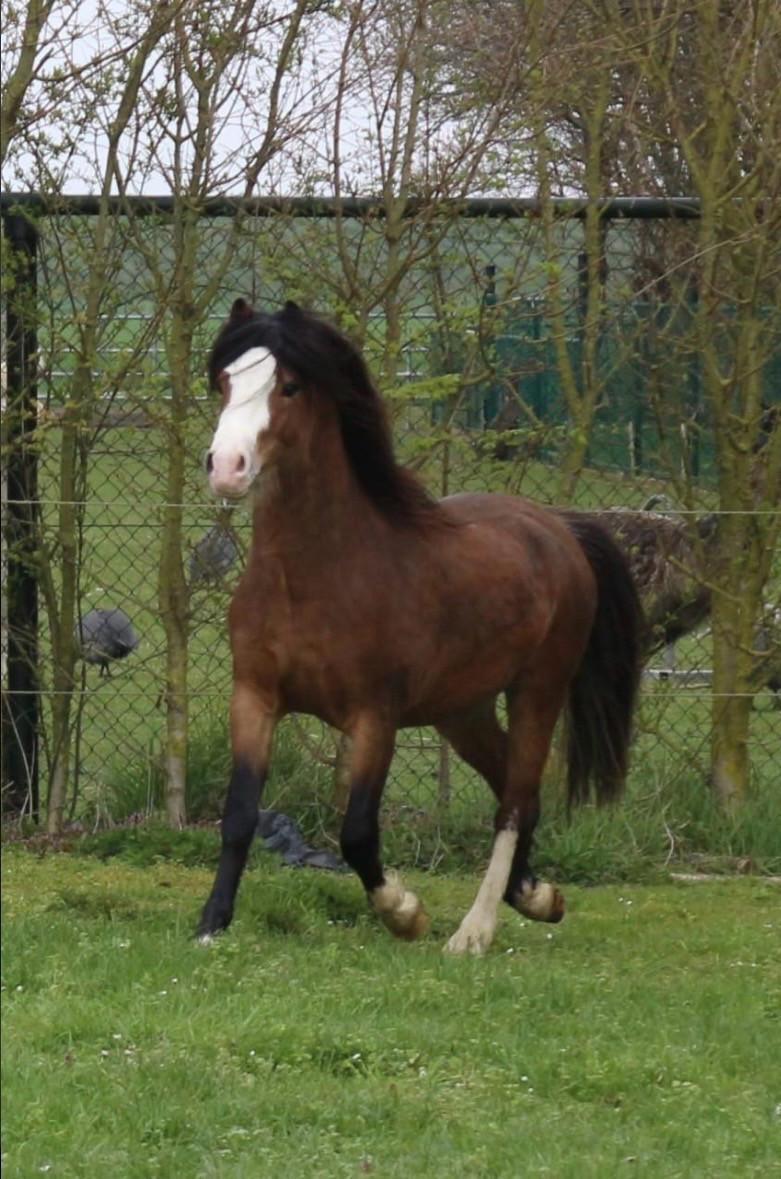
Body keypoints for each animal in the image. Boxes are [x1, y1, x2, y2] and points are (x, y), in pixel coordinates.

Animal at [196, 299, 642, 955]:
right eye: (226, 381)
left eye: (290, 385)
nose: (227, 467)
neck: (315, 578)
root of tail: (560, 529)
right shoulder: (253, 699)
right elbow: (238, 815)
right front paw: (211, 924)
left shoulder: (374, 717)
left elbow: (357, 831)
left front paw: (404, 912)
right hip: (462, 710)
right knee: (517, 788)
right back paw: (536, 895)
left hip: (539, 690)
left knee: (514, 802)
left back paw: (474, 932)